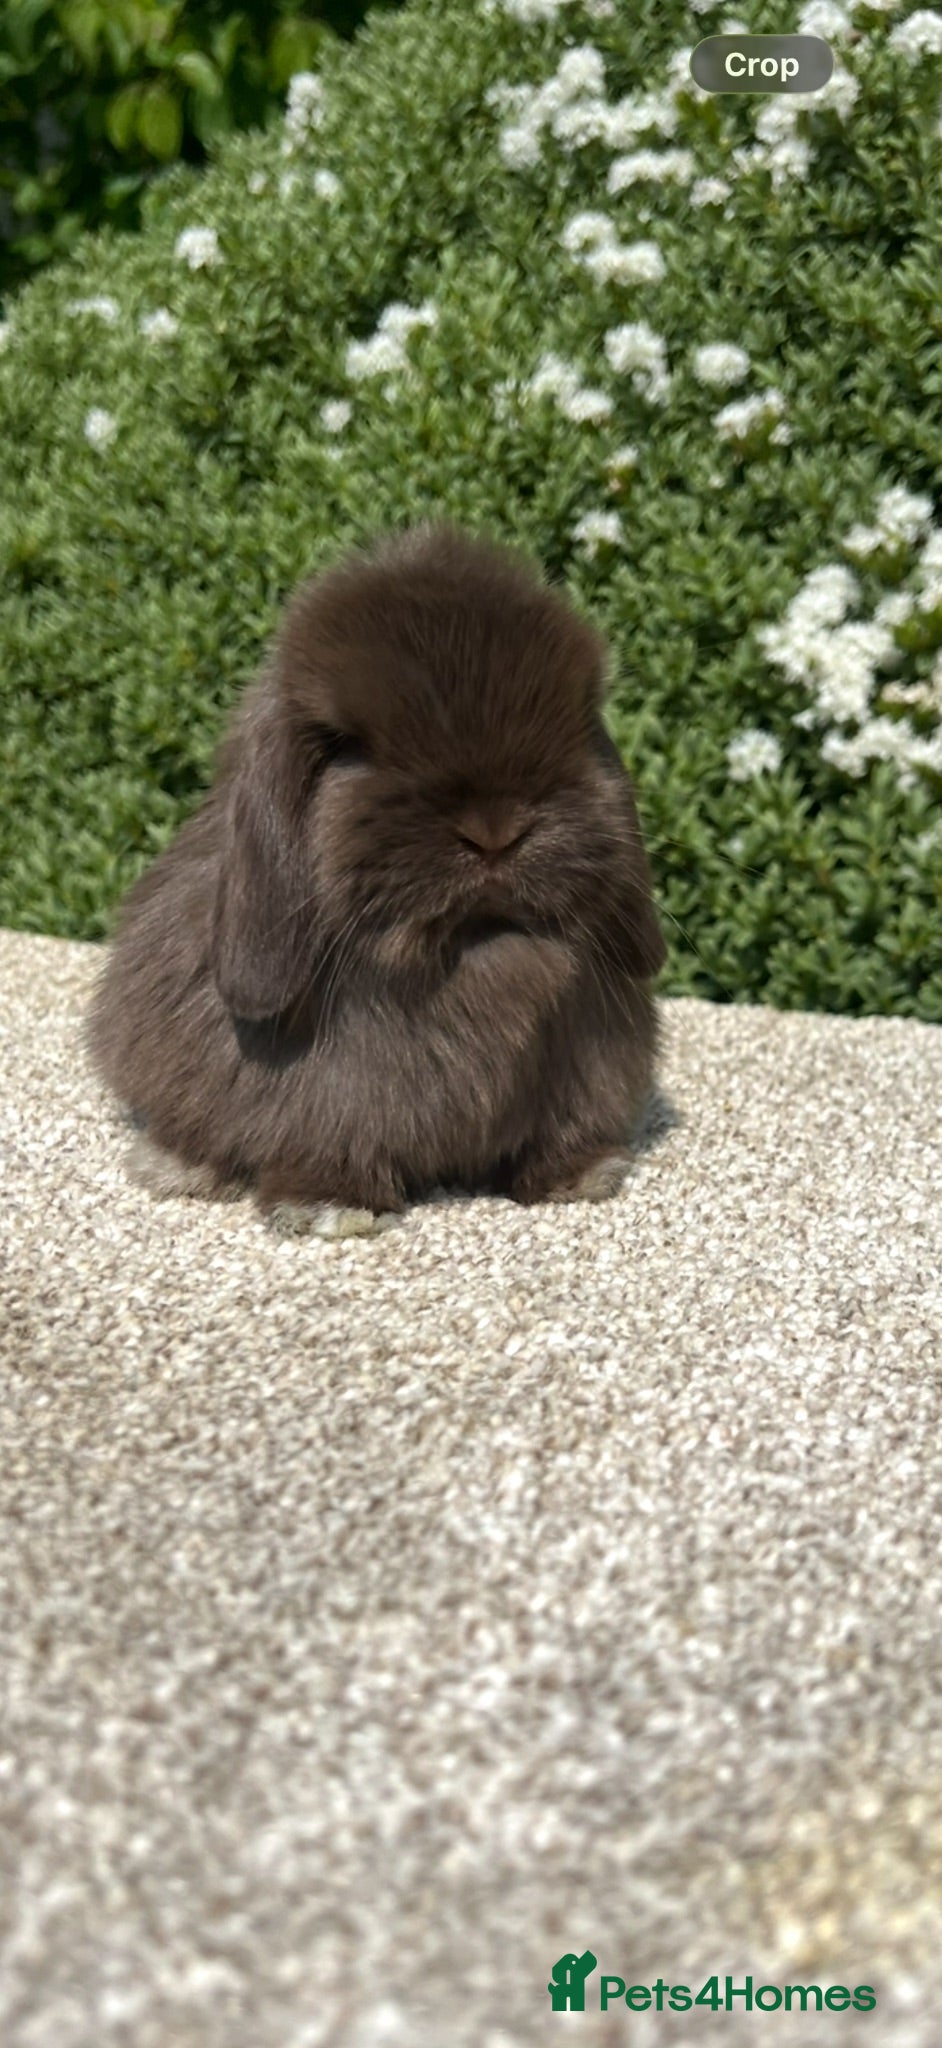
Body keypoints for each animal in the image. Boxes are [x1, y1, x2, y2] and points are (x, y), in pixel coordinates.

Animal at [83, 519, 667, 1238]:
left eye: (577, 724)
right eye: (345, 748)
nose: (494, 828)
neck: (471, 954)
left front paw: (581, 1176)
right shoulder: (326, 1098)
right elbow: (328, 1135)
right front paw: (330, 1208)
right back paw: (174, 1166)